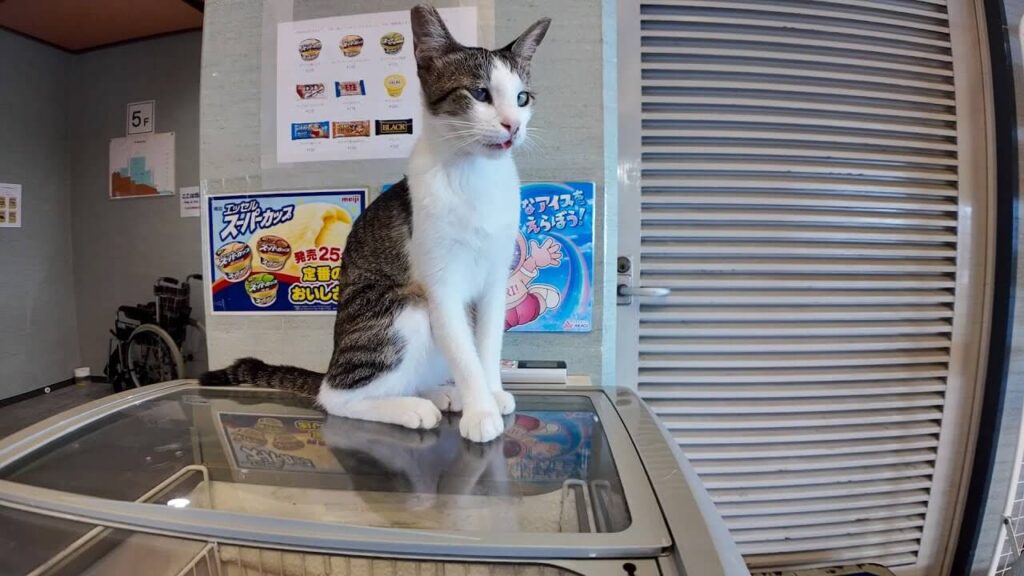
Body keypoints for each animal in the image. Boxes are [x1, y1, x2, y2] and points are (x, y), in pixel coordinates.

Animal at [200, 5, 551, 443]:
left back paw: (437, 392)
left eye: (522, 98)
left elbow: (486, 345)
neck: (475, 177)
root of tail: (329, 367)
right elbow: (463, 350)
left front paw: (491, 393)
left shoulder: (494, 277)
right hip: (402, 307)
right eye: (480, 93)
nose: (512, 126)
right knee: (338, 397)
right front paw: (481, 412)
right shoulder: (441, 283)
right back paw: (411, 407)